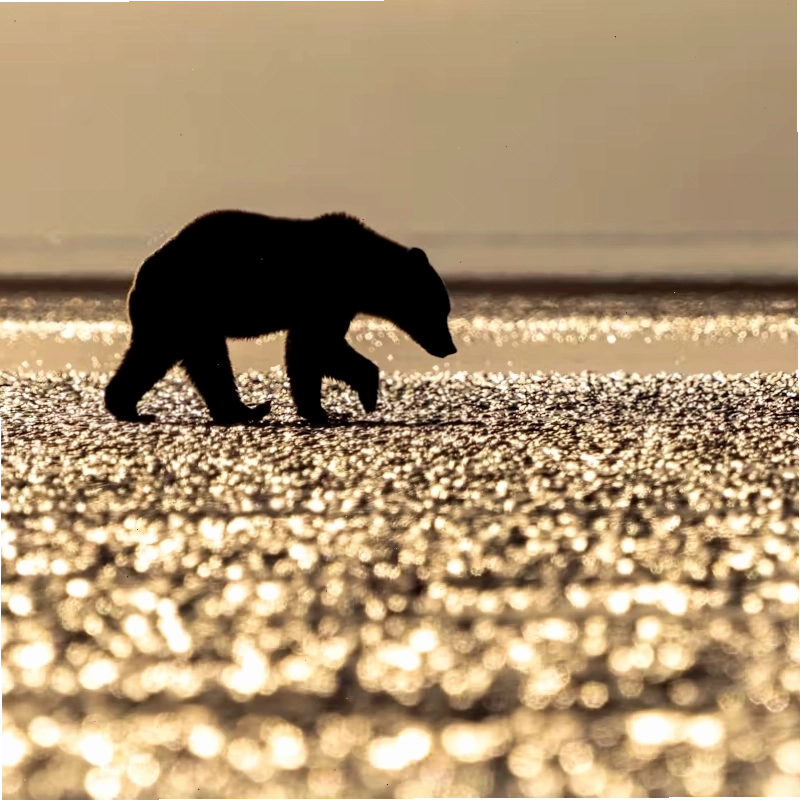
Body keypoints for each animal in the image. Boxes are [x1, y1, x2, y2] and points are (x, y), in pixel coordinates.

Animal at [104, 210, 457, 426]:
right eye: (440, 309)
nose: (449, 347)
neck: (363, 273)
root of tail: (138, 278)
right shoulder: (325, 294)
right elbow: (318, 346)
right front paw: (357, 396)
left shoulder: (334, 302)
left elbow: (308, 350)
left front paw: (319, 407)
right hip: (187, 305)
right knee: (199, 360)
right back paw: (245, 410)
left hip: (181, 319)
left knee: (168, 358)